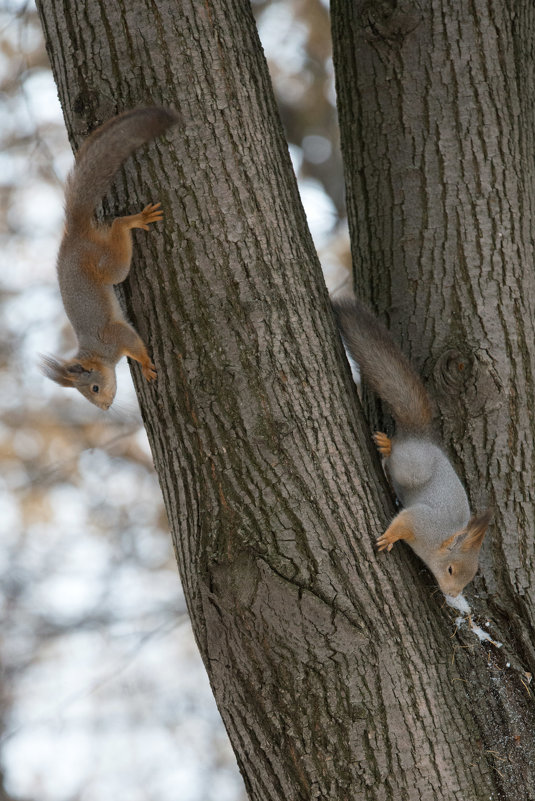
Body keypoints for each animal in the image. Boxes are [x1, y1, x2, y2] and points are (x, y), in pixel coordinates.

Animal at [42, 105, 179, 410]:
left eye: (94, 388)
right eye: (88, 395)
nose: (105, 408)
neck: (98, 353)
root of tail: (74, 235)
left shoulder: (113, 336)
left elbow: (135, 344)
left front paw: (146, 364)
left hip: (106, 264)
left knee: (117, 227)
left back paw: (134, 220)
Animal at [332, 296, 492, 596]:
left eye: (469, 577)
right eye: (450, 569)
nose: (452, 594)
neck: (439, 540)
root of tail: (422, 437)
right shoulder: (422, 521)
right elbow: (403, 521)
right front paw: (388, 538)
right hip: (413, 466)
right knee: (398, 452)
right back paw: (387, 445)